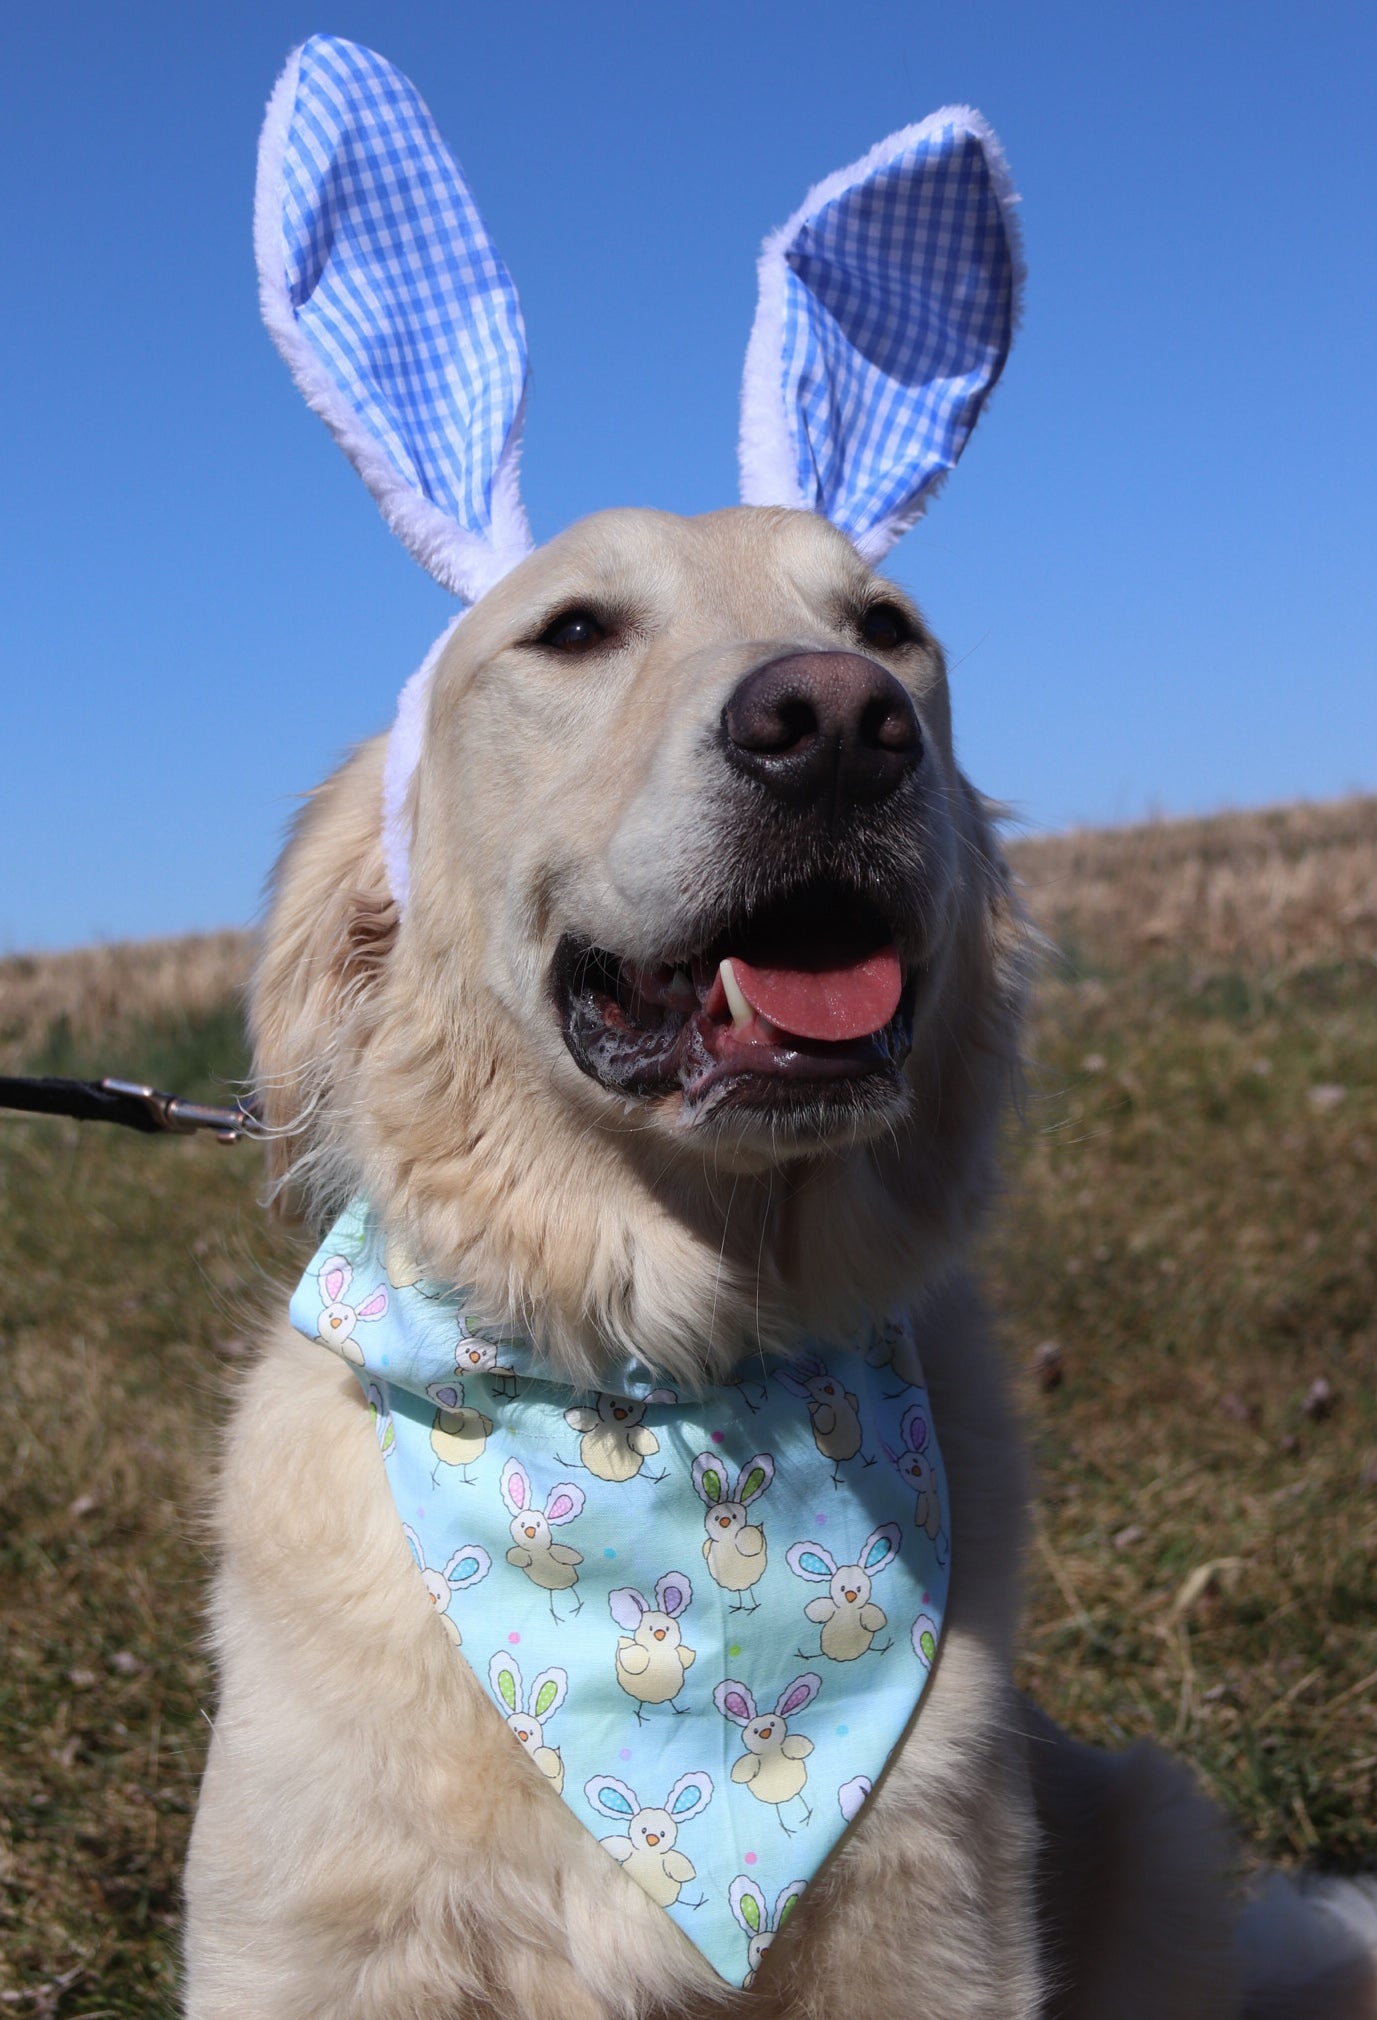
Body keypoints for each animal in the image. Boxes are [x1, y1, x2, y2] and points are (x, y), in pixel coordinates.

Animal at [184, 39, 1372, 2020]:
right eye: (573, 631)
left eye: (887, 623)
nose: (836, 722)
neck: (671, 1394)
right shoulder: (319, 1933)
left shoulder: (938, 1911)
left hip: (1143, 1820)